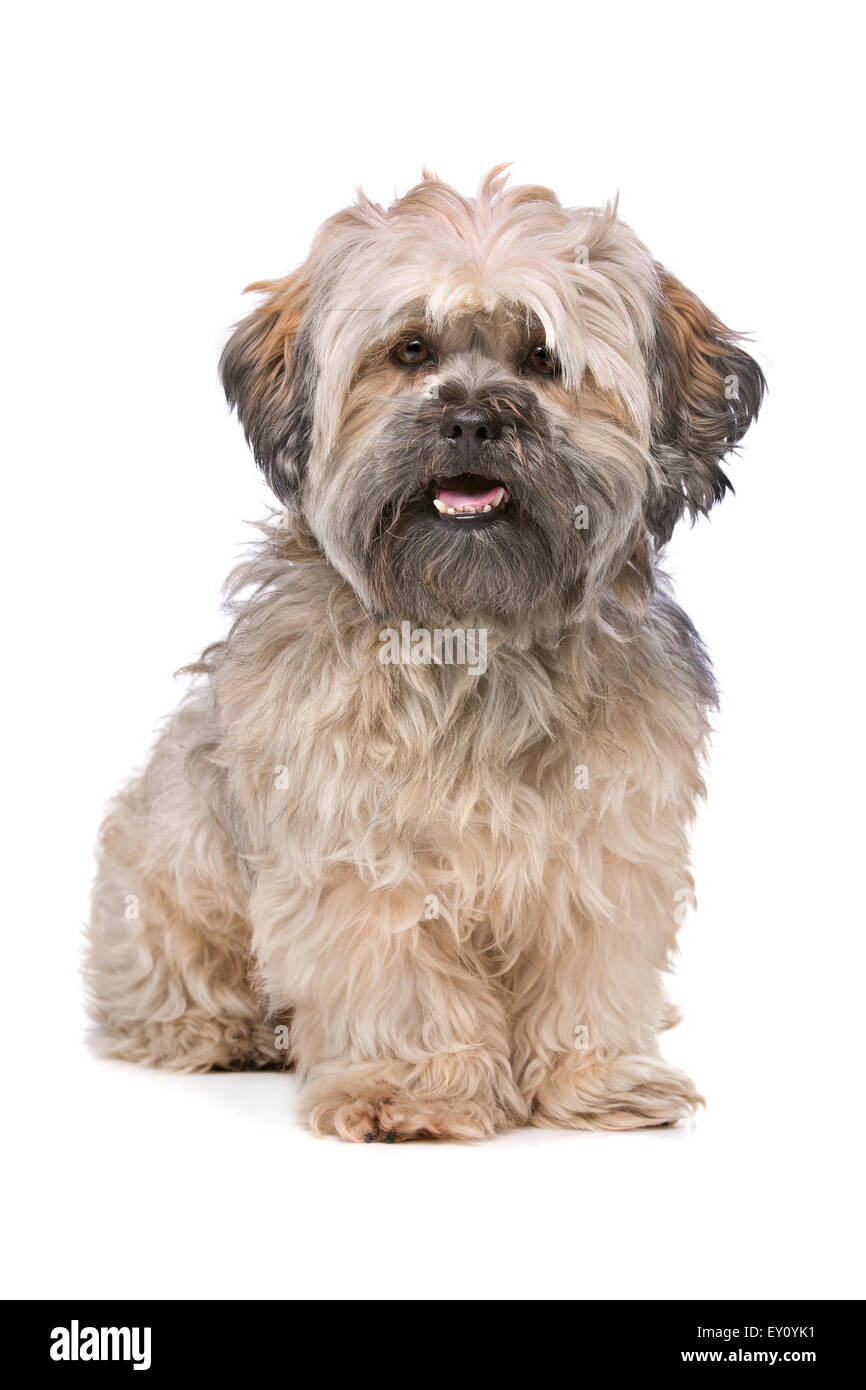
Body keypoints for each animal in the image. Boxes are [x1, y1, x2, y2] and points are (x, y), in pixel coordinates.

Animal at [86, 168, 767, 1139]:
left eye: (542, 359)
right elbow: (396, 968)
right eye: (411, 349)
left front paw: (596, 1079)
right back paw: (220, 1031)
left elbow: (591, 960)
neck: (471, 629)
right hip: (168, 868)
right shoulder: (357, 842)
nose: (474, 421)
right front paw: (407, 1089)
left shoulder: (610, 838)